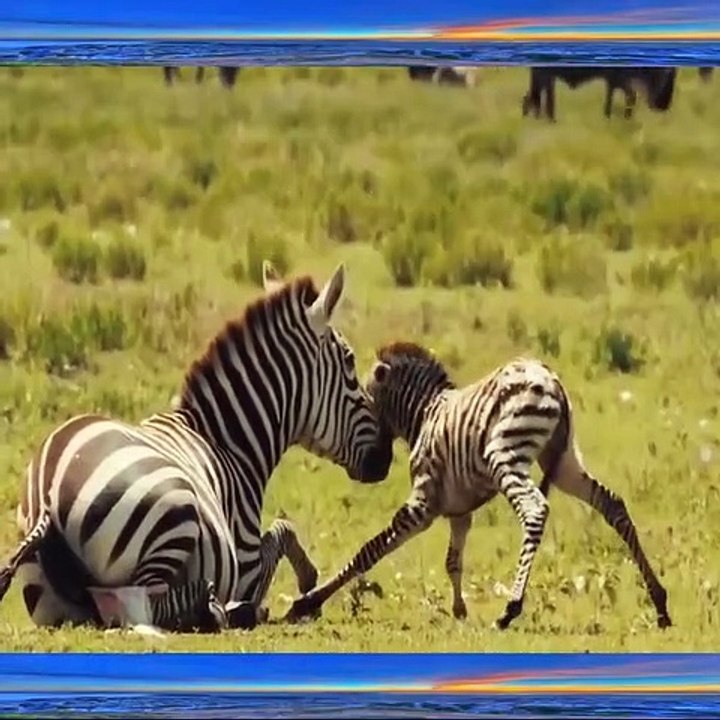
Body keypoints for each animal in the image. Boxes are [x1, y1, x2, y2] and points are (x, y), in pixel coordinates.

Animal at [0, 261, 393, 633]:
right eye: (350, 362)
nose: (386, 457)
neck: (227, 441)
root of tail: (47, 495)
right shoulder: (247, 562)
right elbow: (283, 530)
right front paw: (307, 582)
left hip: (50, 604)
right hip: (175, 511)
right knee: (139, 604)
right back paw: (219, 609)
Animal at [286, 342, 671, 631]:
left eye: (363, 401)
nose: (376, 466)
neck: (424, 413)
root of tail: (553, 381)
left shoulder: (423, 504)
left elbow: (369, 550)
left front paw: (307, 603)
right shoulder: (459, 511)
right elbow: (452, 560)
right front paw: (459, 611)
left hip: (507, 452)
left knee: (535, 510)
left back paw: (511, 608)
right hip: (563, 463)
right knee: (613, 504)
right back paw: (660, 602)